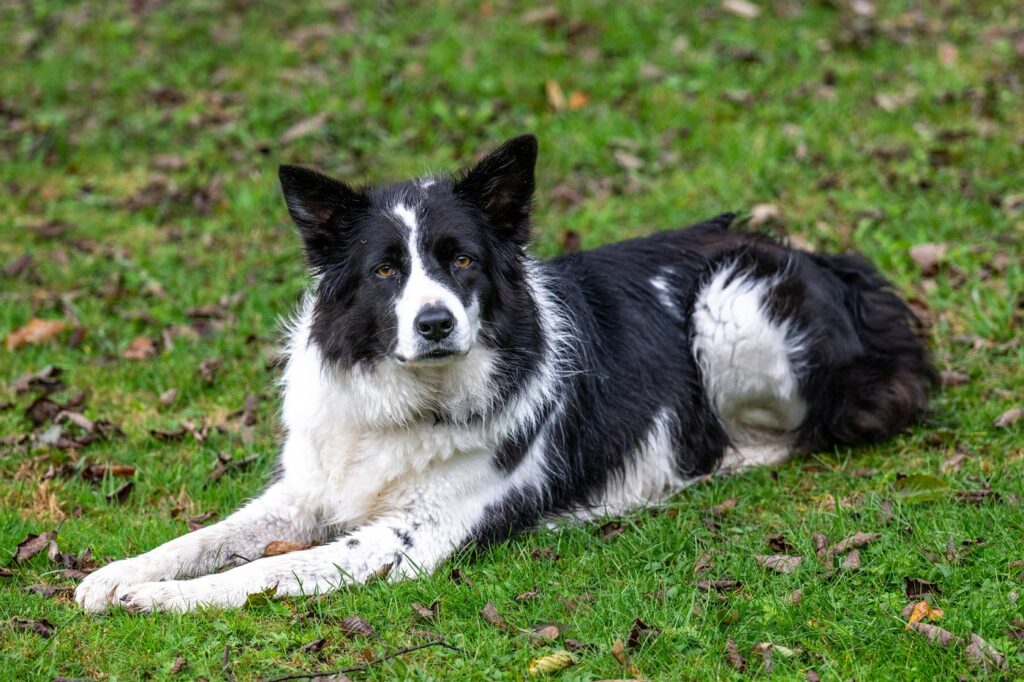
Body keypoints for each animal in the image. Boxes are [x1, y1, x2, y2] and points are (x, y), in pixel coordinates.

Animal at [75, 134, 933, 610]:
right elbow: (212, 537)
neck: (409, 397)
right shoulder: (308, 490)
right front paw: (120, 575)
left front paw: (158, 599)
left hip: (732, 302)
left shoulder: (409, 540)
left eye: (459, 261)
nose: (435, 322)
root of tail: (840, 265)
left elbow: (261, 573)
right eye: (386, 271)